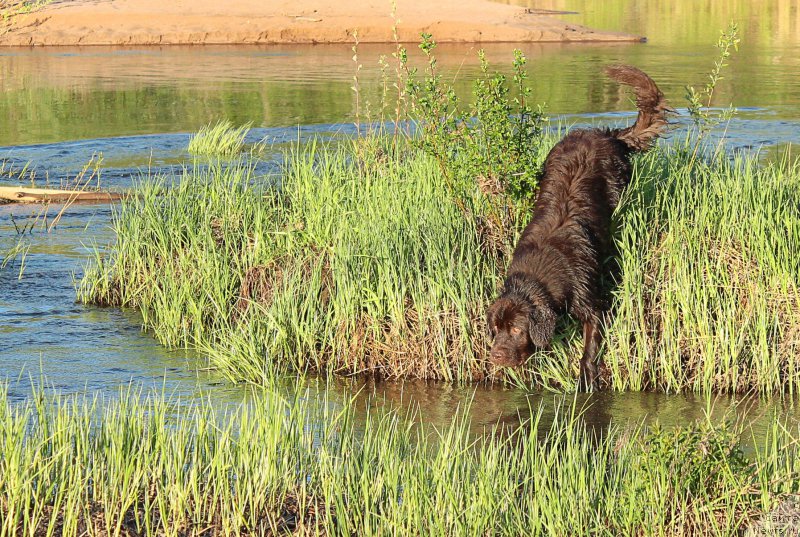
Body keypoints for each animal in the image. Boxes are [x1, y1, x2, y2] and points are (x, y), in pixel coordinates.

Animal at [488, 65, 668, 390]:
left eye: (518, 330)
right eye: (496, 328)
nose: (496, 355)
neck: (541, 273)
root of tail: (604, 134)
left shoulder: (592, 303)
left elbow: (590, 343)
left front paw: (587, 376)